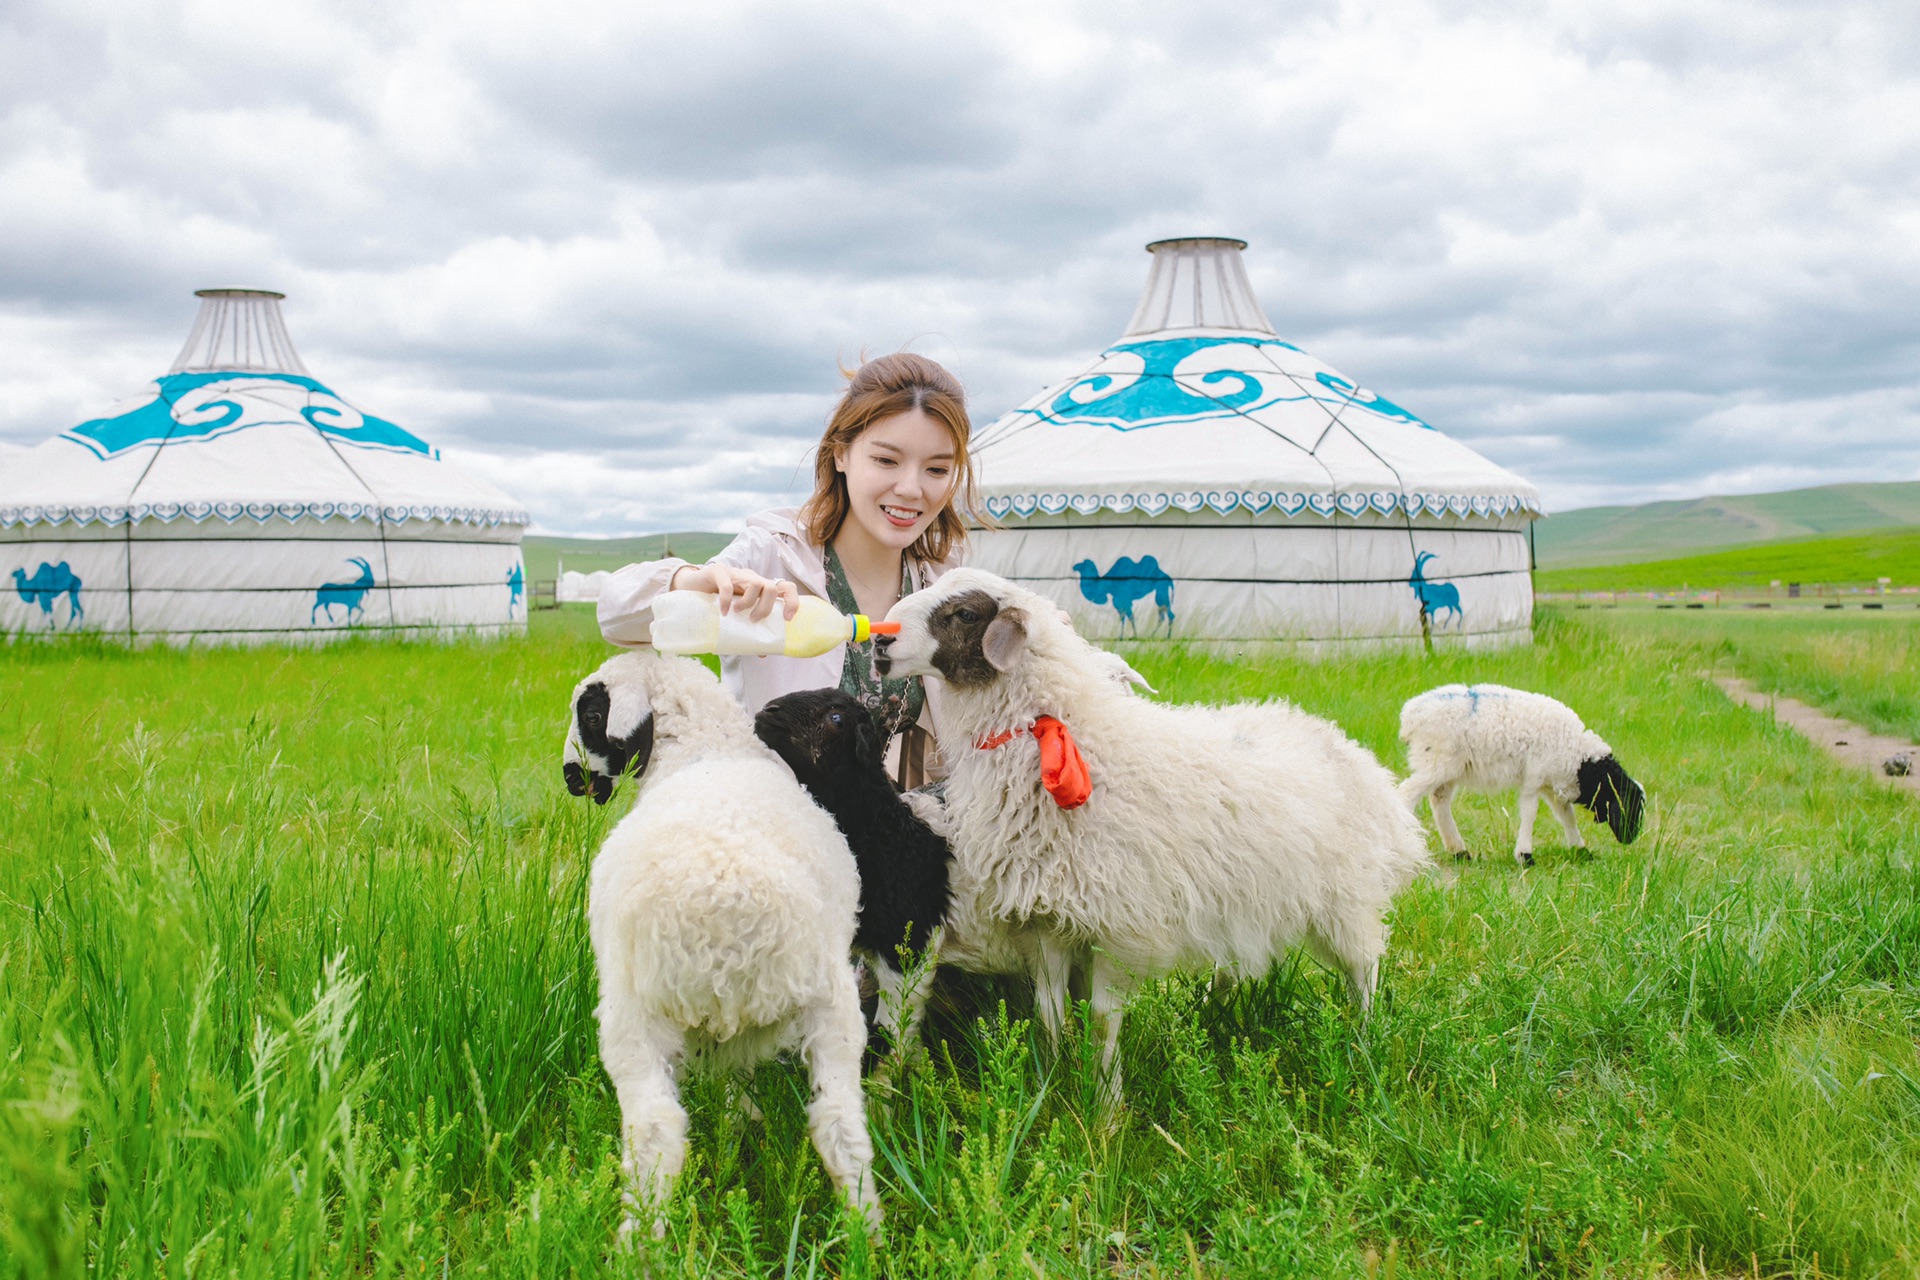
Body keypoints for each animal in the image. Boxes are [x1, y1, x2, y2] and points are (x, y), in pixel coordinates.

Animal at [560, 656, 879, 1235]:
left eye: (591, 714)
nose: (572, 778)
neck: (707, 745)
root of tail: (725, 910)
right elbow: (742, 1082)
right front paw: (740, 1128)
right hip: (831, 1004)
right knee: (839, 1123)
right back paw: (867, 1232)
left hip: (631, 1014)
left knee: (656, 1132)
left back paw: (636, 1241)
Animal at [879, 568, 1436, 1105]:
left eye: (965, 613)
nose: (880, 639)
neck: (1066, 738)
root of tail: (1346, 746)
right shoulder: (1048, 920)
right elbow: (1049, 1015)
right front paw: (1052, 1086)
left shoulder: (1120, 925)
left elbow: (1101, 1023)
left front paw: (1105, 1110)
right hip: (1245, 896)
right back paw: (1214, 1014)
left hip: (1345, 899)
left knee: (1365, 969)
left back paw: (1365, 1042)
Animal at [1397, 679, 1651, 871]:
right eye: (1629, 804)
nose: (1630, 838)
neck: (1579, 759)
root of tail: (1410, 715)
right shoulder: (1534, 778)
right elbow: (1530, 813)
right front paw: (1525, 856)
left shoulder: (1551, 783)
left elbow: (1566, 816)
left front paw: (1581, 850)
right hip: (1436, 763)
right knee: (1406, 795)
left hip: (1449, 768)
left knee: (1439, 801)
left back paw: (1459, 851)